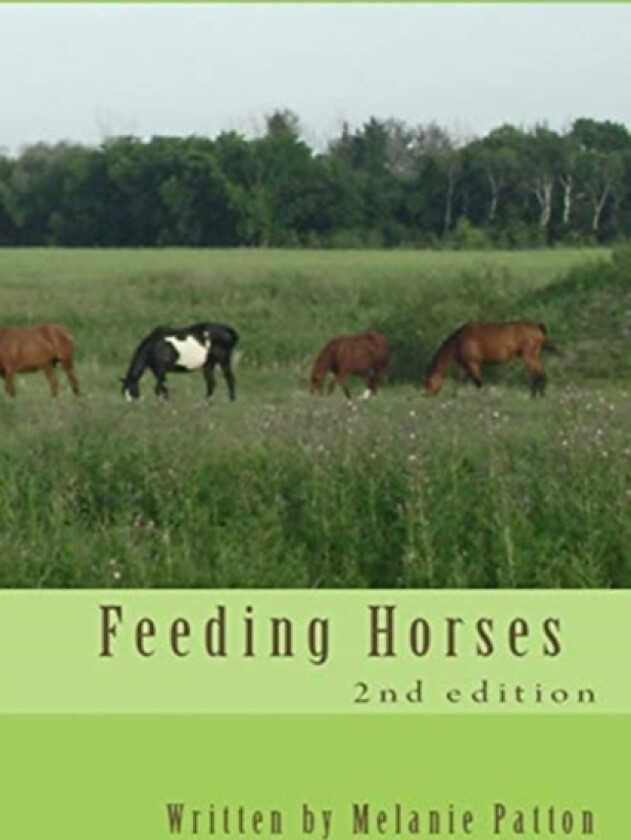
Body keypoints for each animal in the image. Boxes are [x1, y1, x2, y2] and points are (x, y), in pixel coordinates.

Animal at [424, 320, 553, 397]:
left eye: (428, 381)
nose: (427, 395)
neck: (459, 341)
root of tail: (538, 326)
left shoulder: (474, 363)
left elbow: (478, 382)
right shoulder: (464, 365)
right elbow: (459, 381)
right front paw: (454, 396)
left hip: (529, 357)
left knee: (536, 375)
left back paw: (534, 395)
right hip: (533, 357)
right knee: (541, 374)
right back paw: (539, 395)